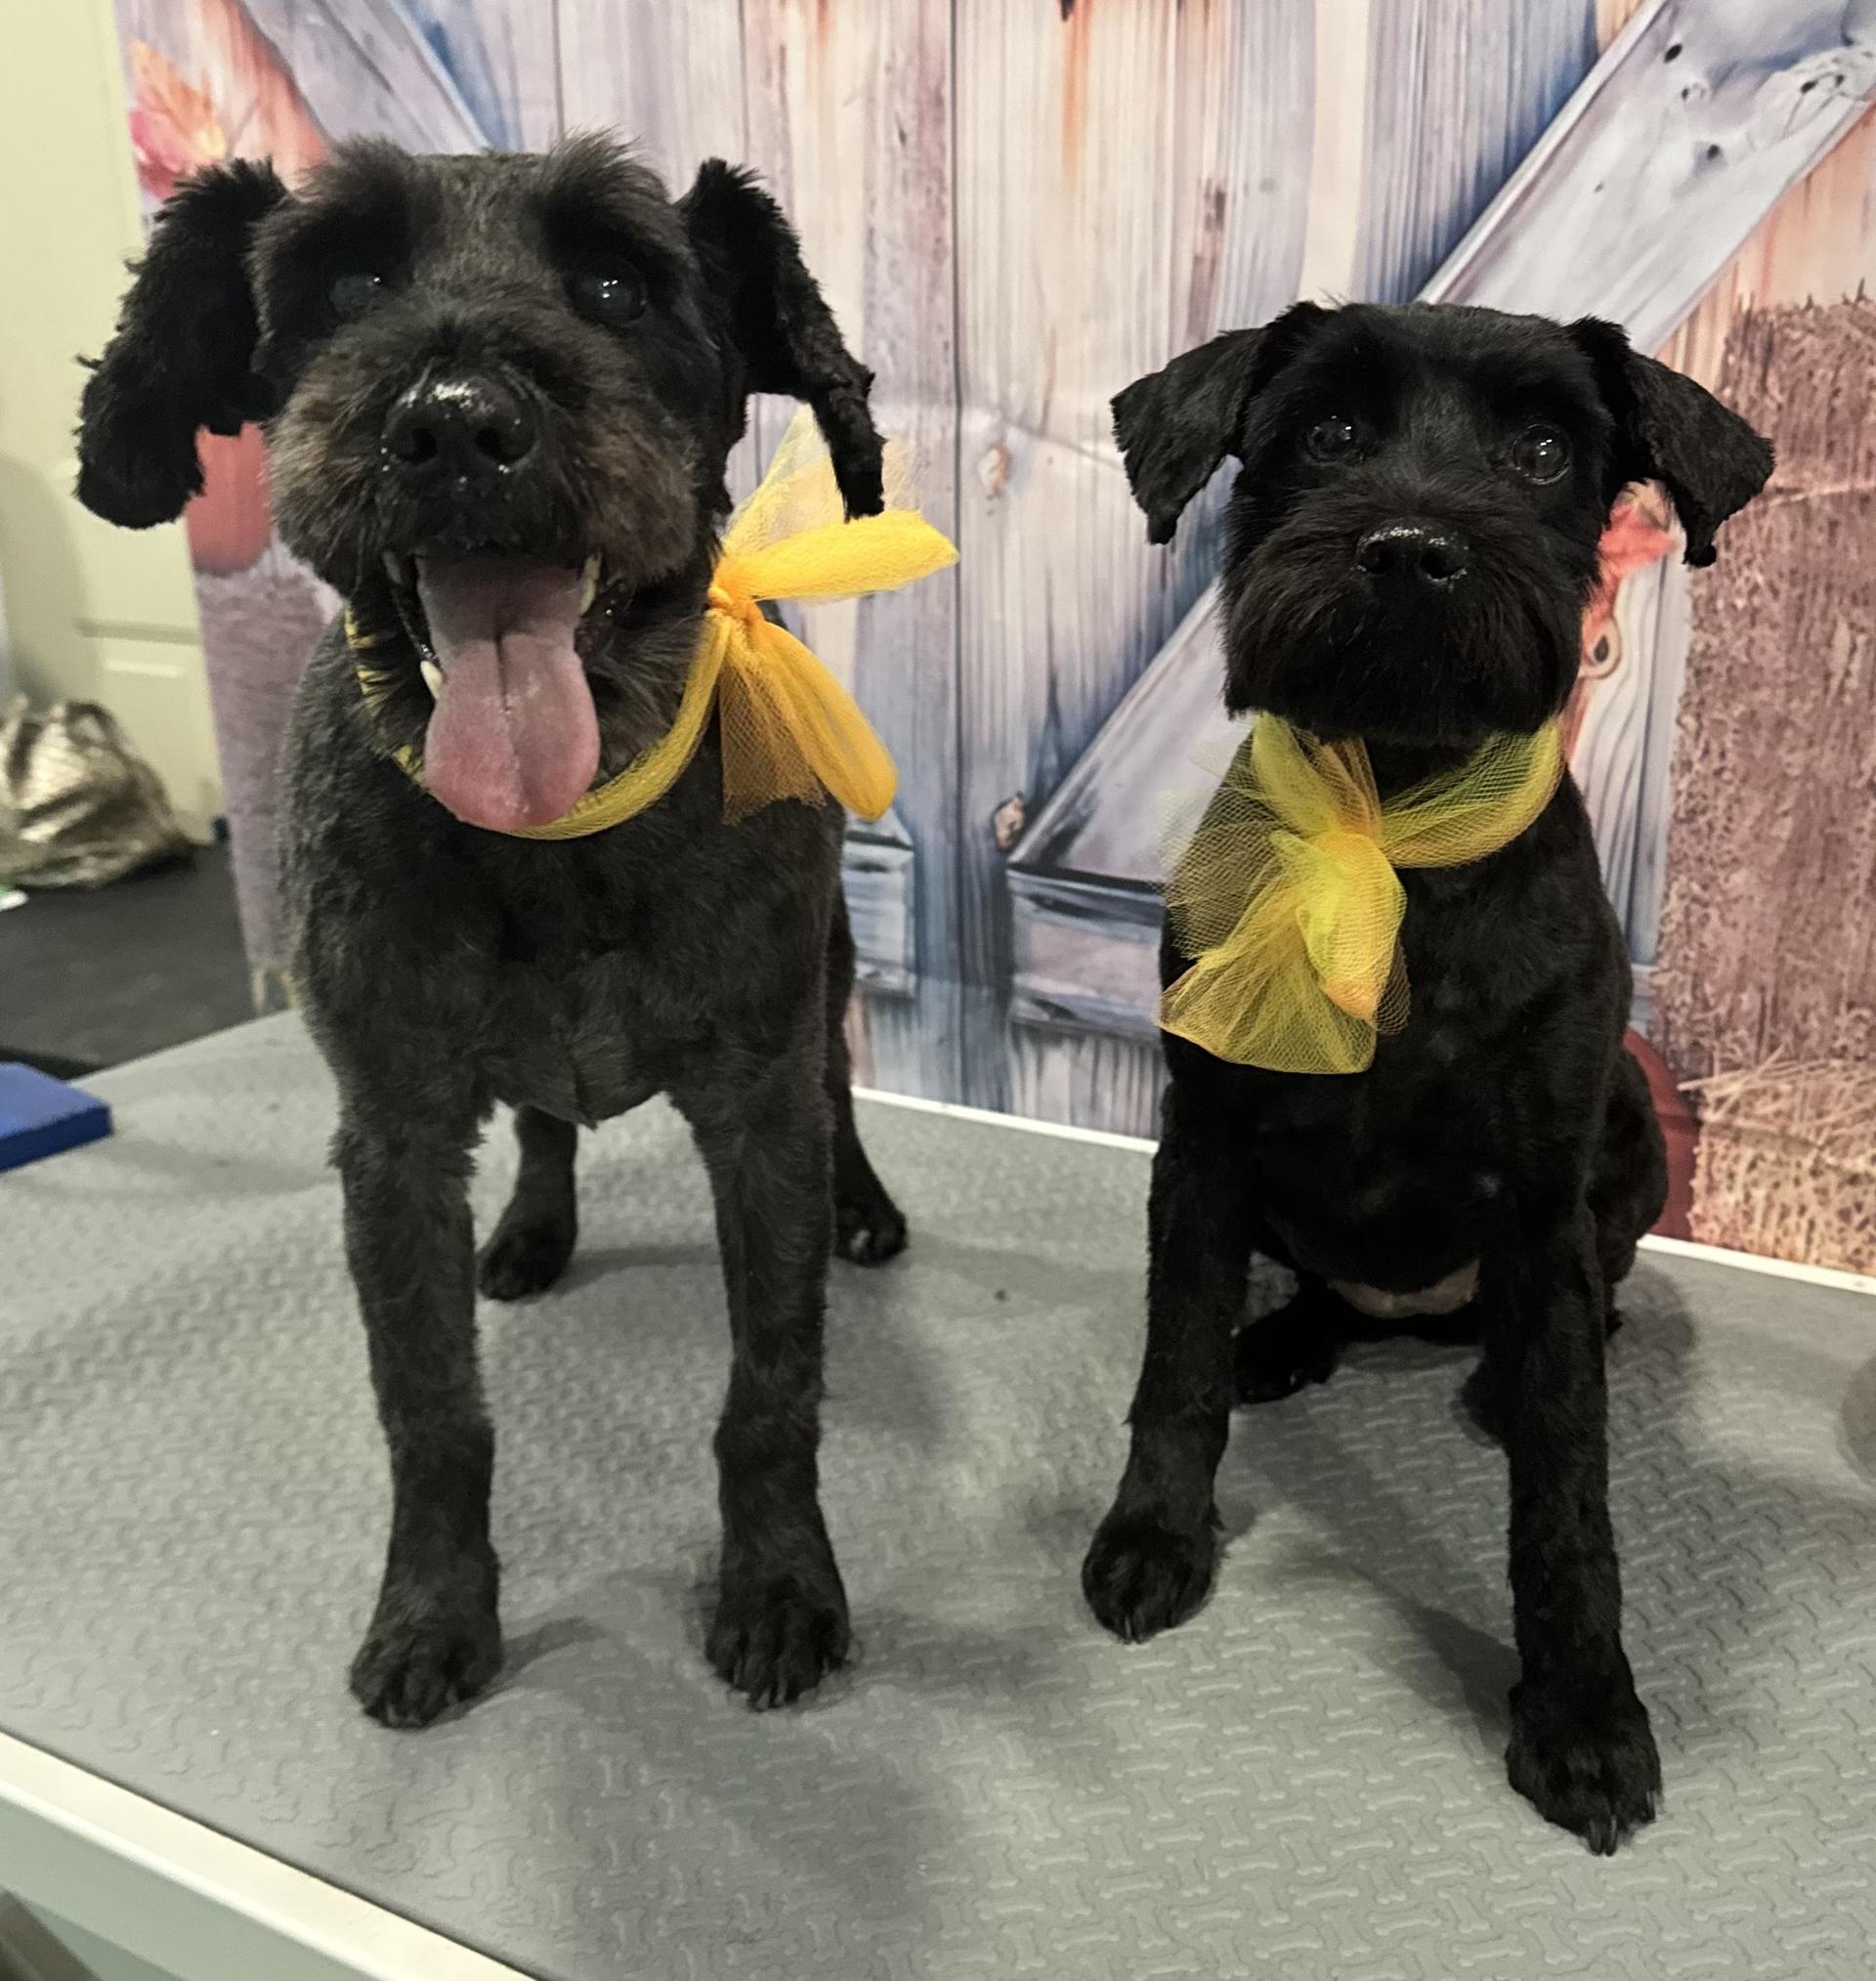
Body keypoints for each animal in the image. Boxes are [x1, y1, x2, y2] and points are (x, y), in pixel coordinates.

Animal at [76, 137, 911, 1726]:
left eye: (618, 284)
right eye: (345, 282)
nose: (456, 425)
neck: (561, 826)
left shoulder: (758, 1103)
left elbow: (770, 1389)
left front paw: (780, 1586)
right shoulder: (390, 1134)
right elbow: (432, 1413)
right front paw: (432, 1613)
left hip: (826, 974)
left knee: (839, 1098)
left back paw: (868, 1208)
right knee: (540, 1117)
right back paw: (530, 1227)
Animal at [1082, 301, 1772, 1850]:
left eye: (1545, 450)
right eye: (1329, 431)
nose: (1409, 546)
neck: (1390, 832)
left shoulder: (1542, 1192)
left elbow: (1570, 1494)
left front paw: (1583, 1715)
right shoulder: (1203, 1148)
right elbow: (1173, 1366)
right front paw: (1154, 1532)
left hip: (1625, 1156)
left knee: (1573, 1311)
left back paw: (1506, 1375)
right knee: (1321, 1298)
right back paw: (1282, 1341)